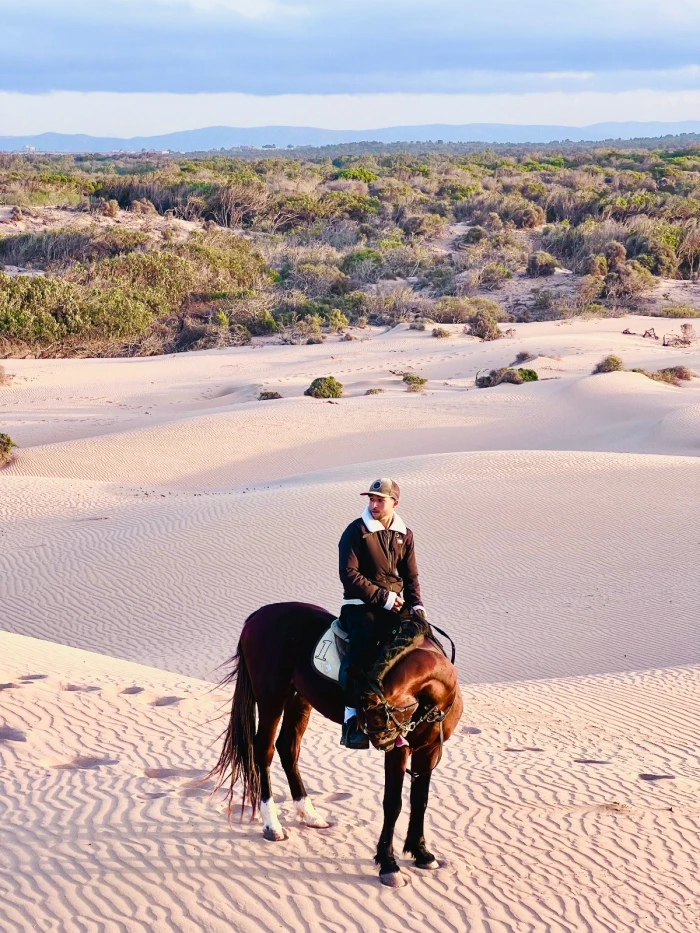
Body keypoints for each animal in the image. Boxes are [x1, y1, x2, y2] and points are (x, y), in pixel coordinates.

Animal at [208, 600, 462, 884]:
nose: (382, 742)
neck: (430, 701)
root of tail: (257, 615)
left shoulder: (428, 750)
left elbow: (421, 801)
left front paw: (421, 853)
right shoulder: (401, 752)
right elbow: (393, 803)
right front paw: (389, 864)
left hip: (298, 697)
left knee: (288, 748)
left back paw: (310, 814)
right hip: (271, 697)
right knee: (264, 750)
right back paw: (272, 825)